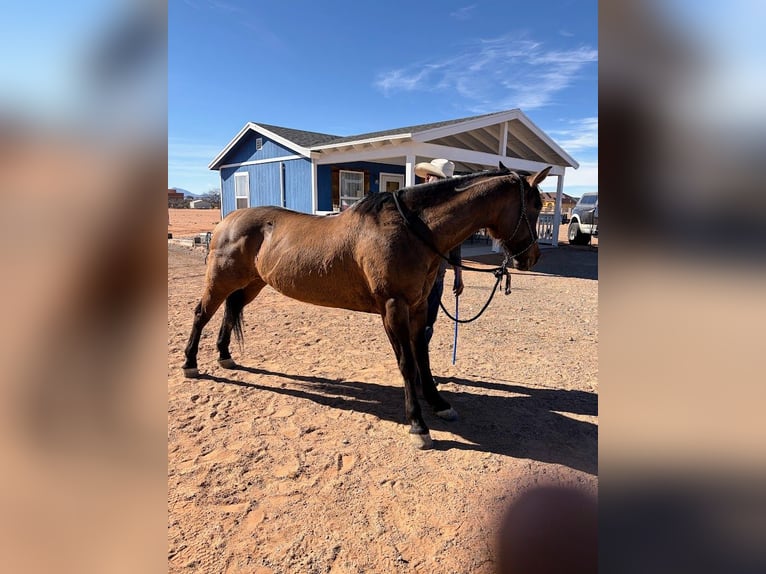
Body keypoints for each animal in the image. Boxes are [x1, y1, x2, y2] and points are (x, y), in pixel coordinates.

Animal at [182, 163, 551, 449]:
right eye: (534, 206)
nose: (531, 257)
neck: (413, 231)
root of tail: (227, 220)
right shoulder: (393, 307)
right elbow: (407, 364)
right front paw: (418, 425)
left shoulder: (419, 307)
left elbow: (423, 358)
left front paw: (438, 403)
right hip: (221, 280)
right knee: (202, 314)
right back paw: (190, 364)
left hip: (252, 284)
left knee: (229, 312)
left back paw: (225, 355)